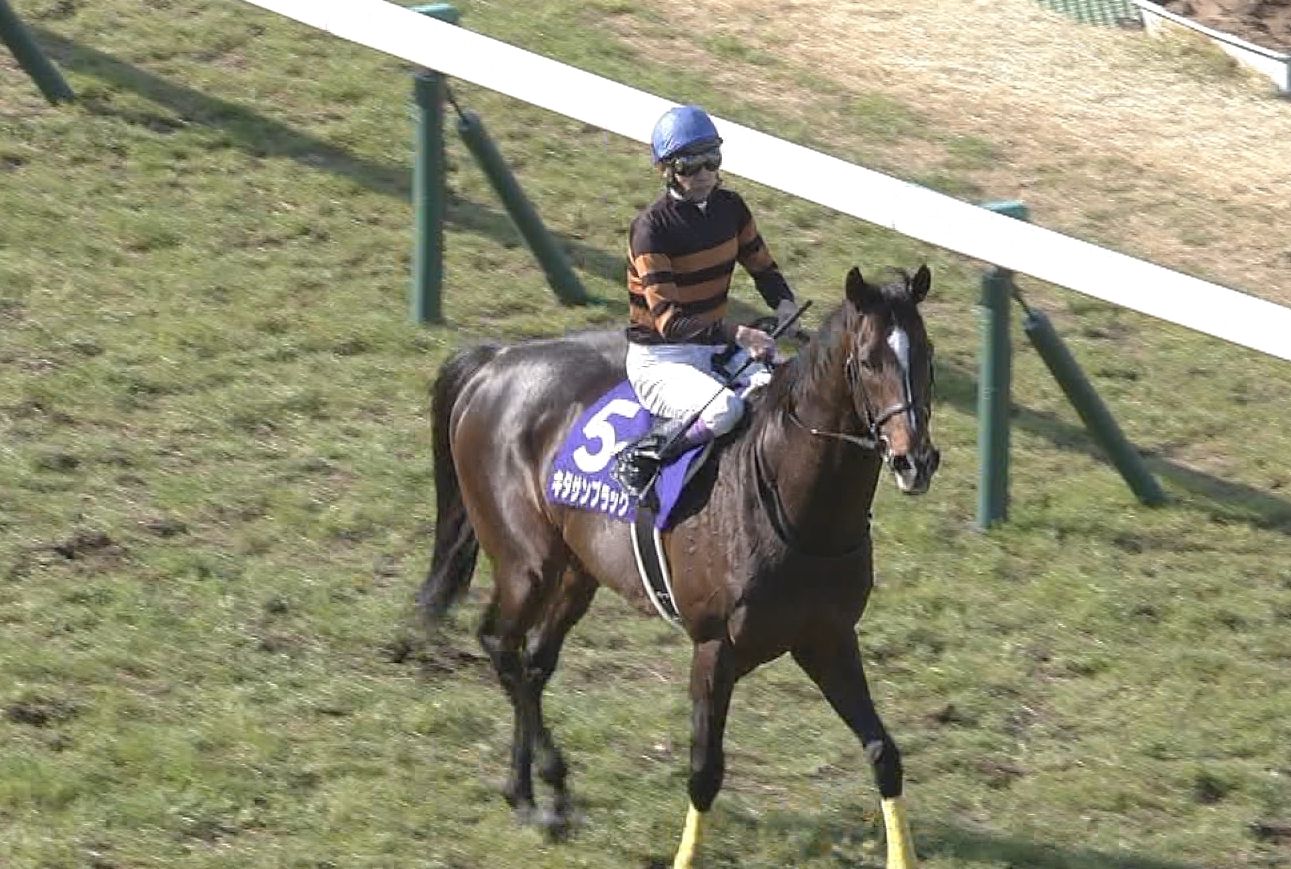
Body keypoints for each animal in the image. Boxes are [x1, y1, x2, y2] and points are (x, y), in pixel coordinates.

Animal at [419, 264, 940, 869]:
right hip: (528, 561)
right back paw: (541, 789)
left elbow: (883, 752)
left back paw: (531, 789)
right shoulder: (715, 648)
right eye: (869, 360)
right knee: (500, 643)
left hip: (577, 571)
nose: (914, 460)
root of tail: (496, 360)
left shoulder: (827, 637)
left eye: (926, 352)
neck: (790, 498)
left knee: (532, 664)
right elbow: (704, 770)